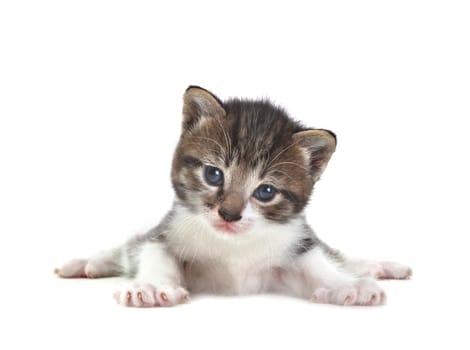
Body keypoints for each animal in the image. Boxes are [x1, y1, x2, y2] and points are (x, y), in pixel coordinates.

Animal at [55, 85, 412, 306]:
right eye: (214, 175)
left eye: (265, 191)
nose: (228, 214)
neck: (233, 249)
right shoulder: (166, 231)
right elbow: (153, 251)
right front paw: (152, 287)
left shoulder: (294, 244)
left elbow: (319, 263)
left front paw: (347, 285)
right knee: (128, 246)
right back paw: (87, 263)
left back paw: (377, 266)